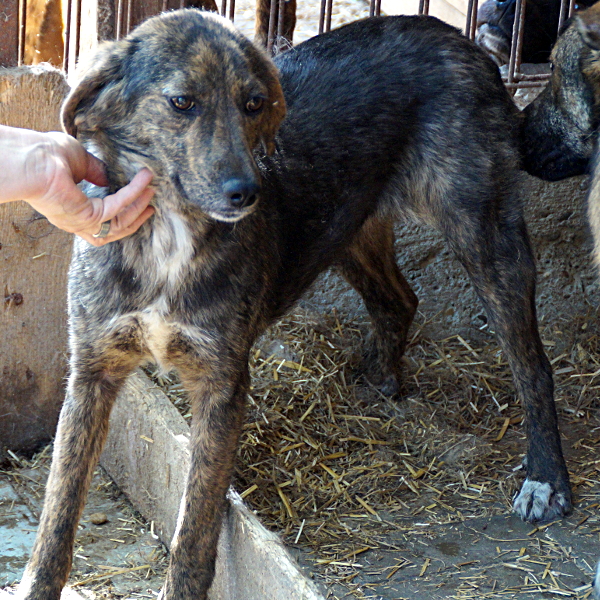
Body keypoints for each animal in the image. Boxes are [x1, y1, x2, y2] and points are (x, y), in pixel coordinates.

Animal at [17, 9, 572, 600]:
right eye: (182, 102)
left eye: (254, 103)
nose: (247, 192)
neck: (167, 235)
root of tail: (461, 42)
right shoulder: (92, 371)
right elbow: (59, 507)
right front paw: (36, 584)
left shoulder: (221, 384)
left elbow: (196, 522)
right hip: (348, 230)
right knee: (400, 300)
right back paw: (380, 379)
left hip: (483, 233)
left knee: (532, 364)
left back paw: (545, 478)